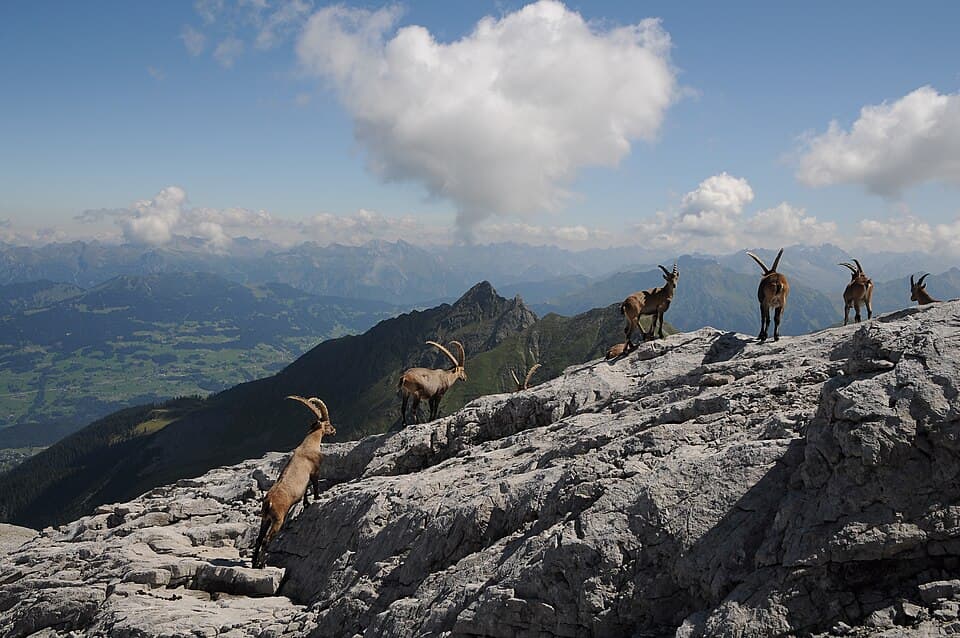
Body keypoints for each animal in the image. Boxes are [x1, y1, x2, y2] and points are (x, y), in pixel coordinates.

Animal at [252, 395, 335, 569]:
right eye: (328, 424)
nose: (334, 430)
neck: (309, 445)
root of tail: (269, 501)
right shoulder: (315, 470)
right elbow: (314, 486)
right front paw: (317, 499)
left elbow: (305, 491)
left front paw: (306, 504)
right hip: (278, 519)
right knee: (266, 540)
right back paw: (262, 564)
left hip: (265, 518)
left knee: (258, 538)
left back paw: (253, 563)